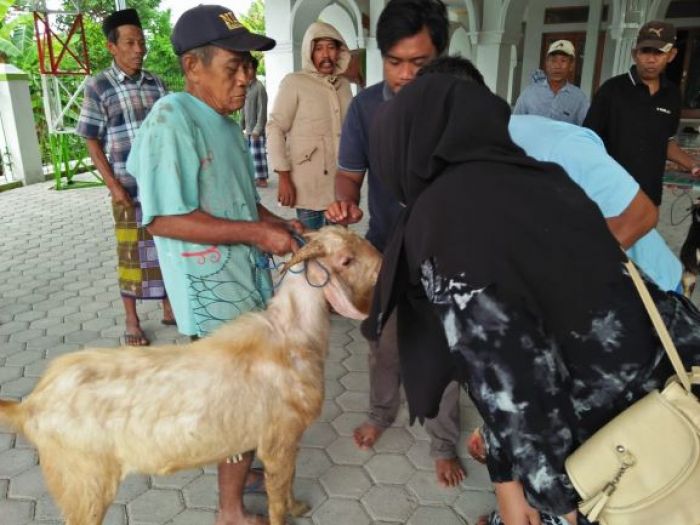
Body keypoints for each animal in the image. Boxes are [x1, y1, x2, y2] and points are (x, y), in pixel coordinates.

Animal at [0, 226, 380, 524]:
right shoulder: (278, 439)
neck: (292, 335)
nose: (381, 265)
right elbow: (276, 494)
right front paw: (284, 514)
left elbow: (287, 484)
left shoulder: (286, 440)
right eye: (346, 260)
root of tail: (30, 405)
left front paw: (298, 506)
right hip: (83, 483)